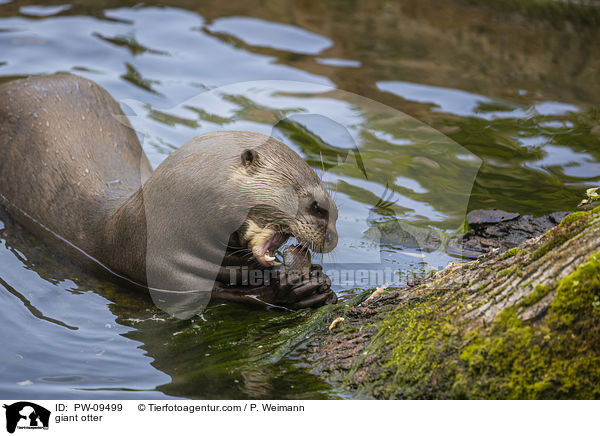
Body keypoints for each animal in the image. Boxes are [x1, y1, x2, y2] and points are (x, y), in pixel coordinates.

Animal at [0, 73, 338, 316]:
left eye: (332, 208)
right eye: (314, 206)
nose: (332, 234)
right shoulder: (167, 273)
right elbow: (220, 296)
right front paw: (294, 290)